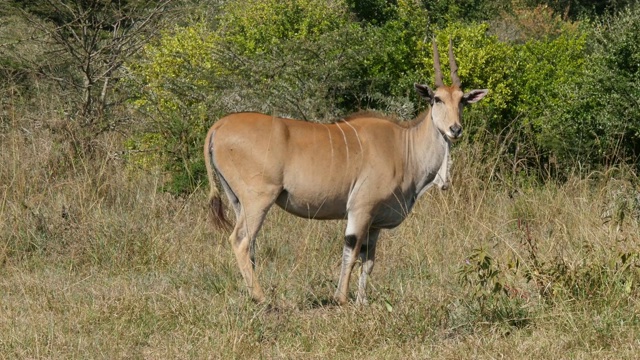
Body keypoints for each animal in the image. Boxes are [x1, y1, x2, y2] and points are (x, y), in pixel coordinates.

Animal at [202, 38, 488, 304]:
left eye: (462, 101)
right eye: (437, 99)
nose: (455, 129)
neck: (404, 146)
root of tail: (219, 126)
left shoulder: (375, 222)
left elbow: (368, 261)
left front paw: (362, 301)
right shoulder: (360, 209)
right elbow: (351, 253)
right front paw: (341, 298)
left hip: (238, 201)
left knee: (250, 244)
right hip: (259, 199)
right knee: (240, 240)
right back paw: (262, 297)